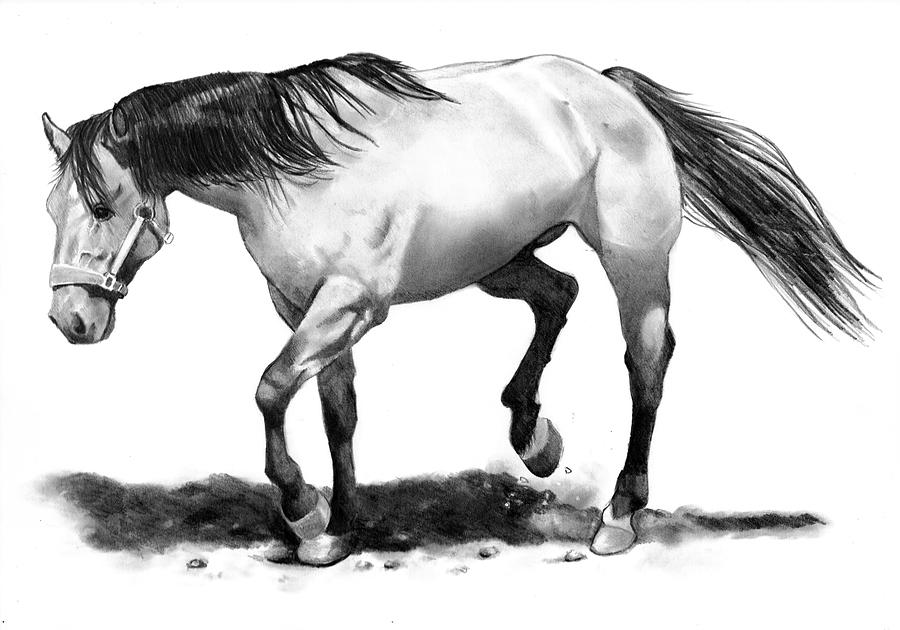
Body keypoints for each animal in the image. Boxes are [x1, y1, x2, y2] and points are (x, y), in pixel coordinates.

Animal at [43, 53, 875, 566]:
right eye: (51, 207)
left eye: (102, 204)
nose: (70, 321)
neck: (295, 173)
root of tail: (614, 91)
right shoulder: (305, 310)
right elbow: (337, 413)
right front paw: (340, 529)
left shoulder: (348, 305)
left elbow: (271, 390)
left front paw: (304, 512)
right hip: (498, 261)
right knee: (558, 297)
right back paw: (532, 435)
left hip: (635, 264)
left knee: (646, 365)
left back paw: (617, 517)